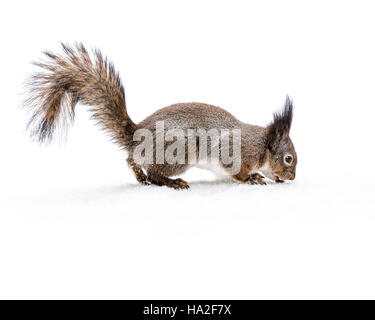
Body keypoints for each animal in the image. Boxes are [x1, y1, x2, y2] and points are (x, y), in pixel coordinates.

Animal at [25, 44, 298, 190]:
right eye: (288, 158)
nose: (292, 178)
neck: (261, 145)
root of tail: (136, 138)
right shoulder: (237, 152)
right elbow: (237, 171)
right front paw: (252, 178)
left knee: (130, 160)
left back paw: (140, 176)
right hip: (181, 150)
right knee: (155, 171)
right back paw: (171, 182)